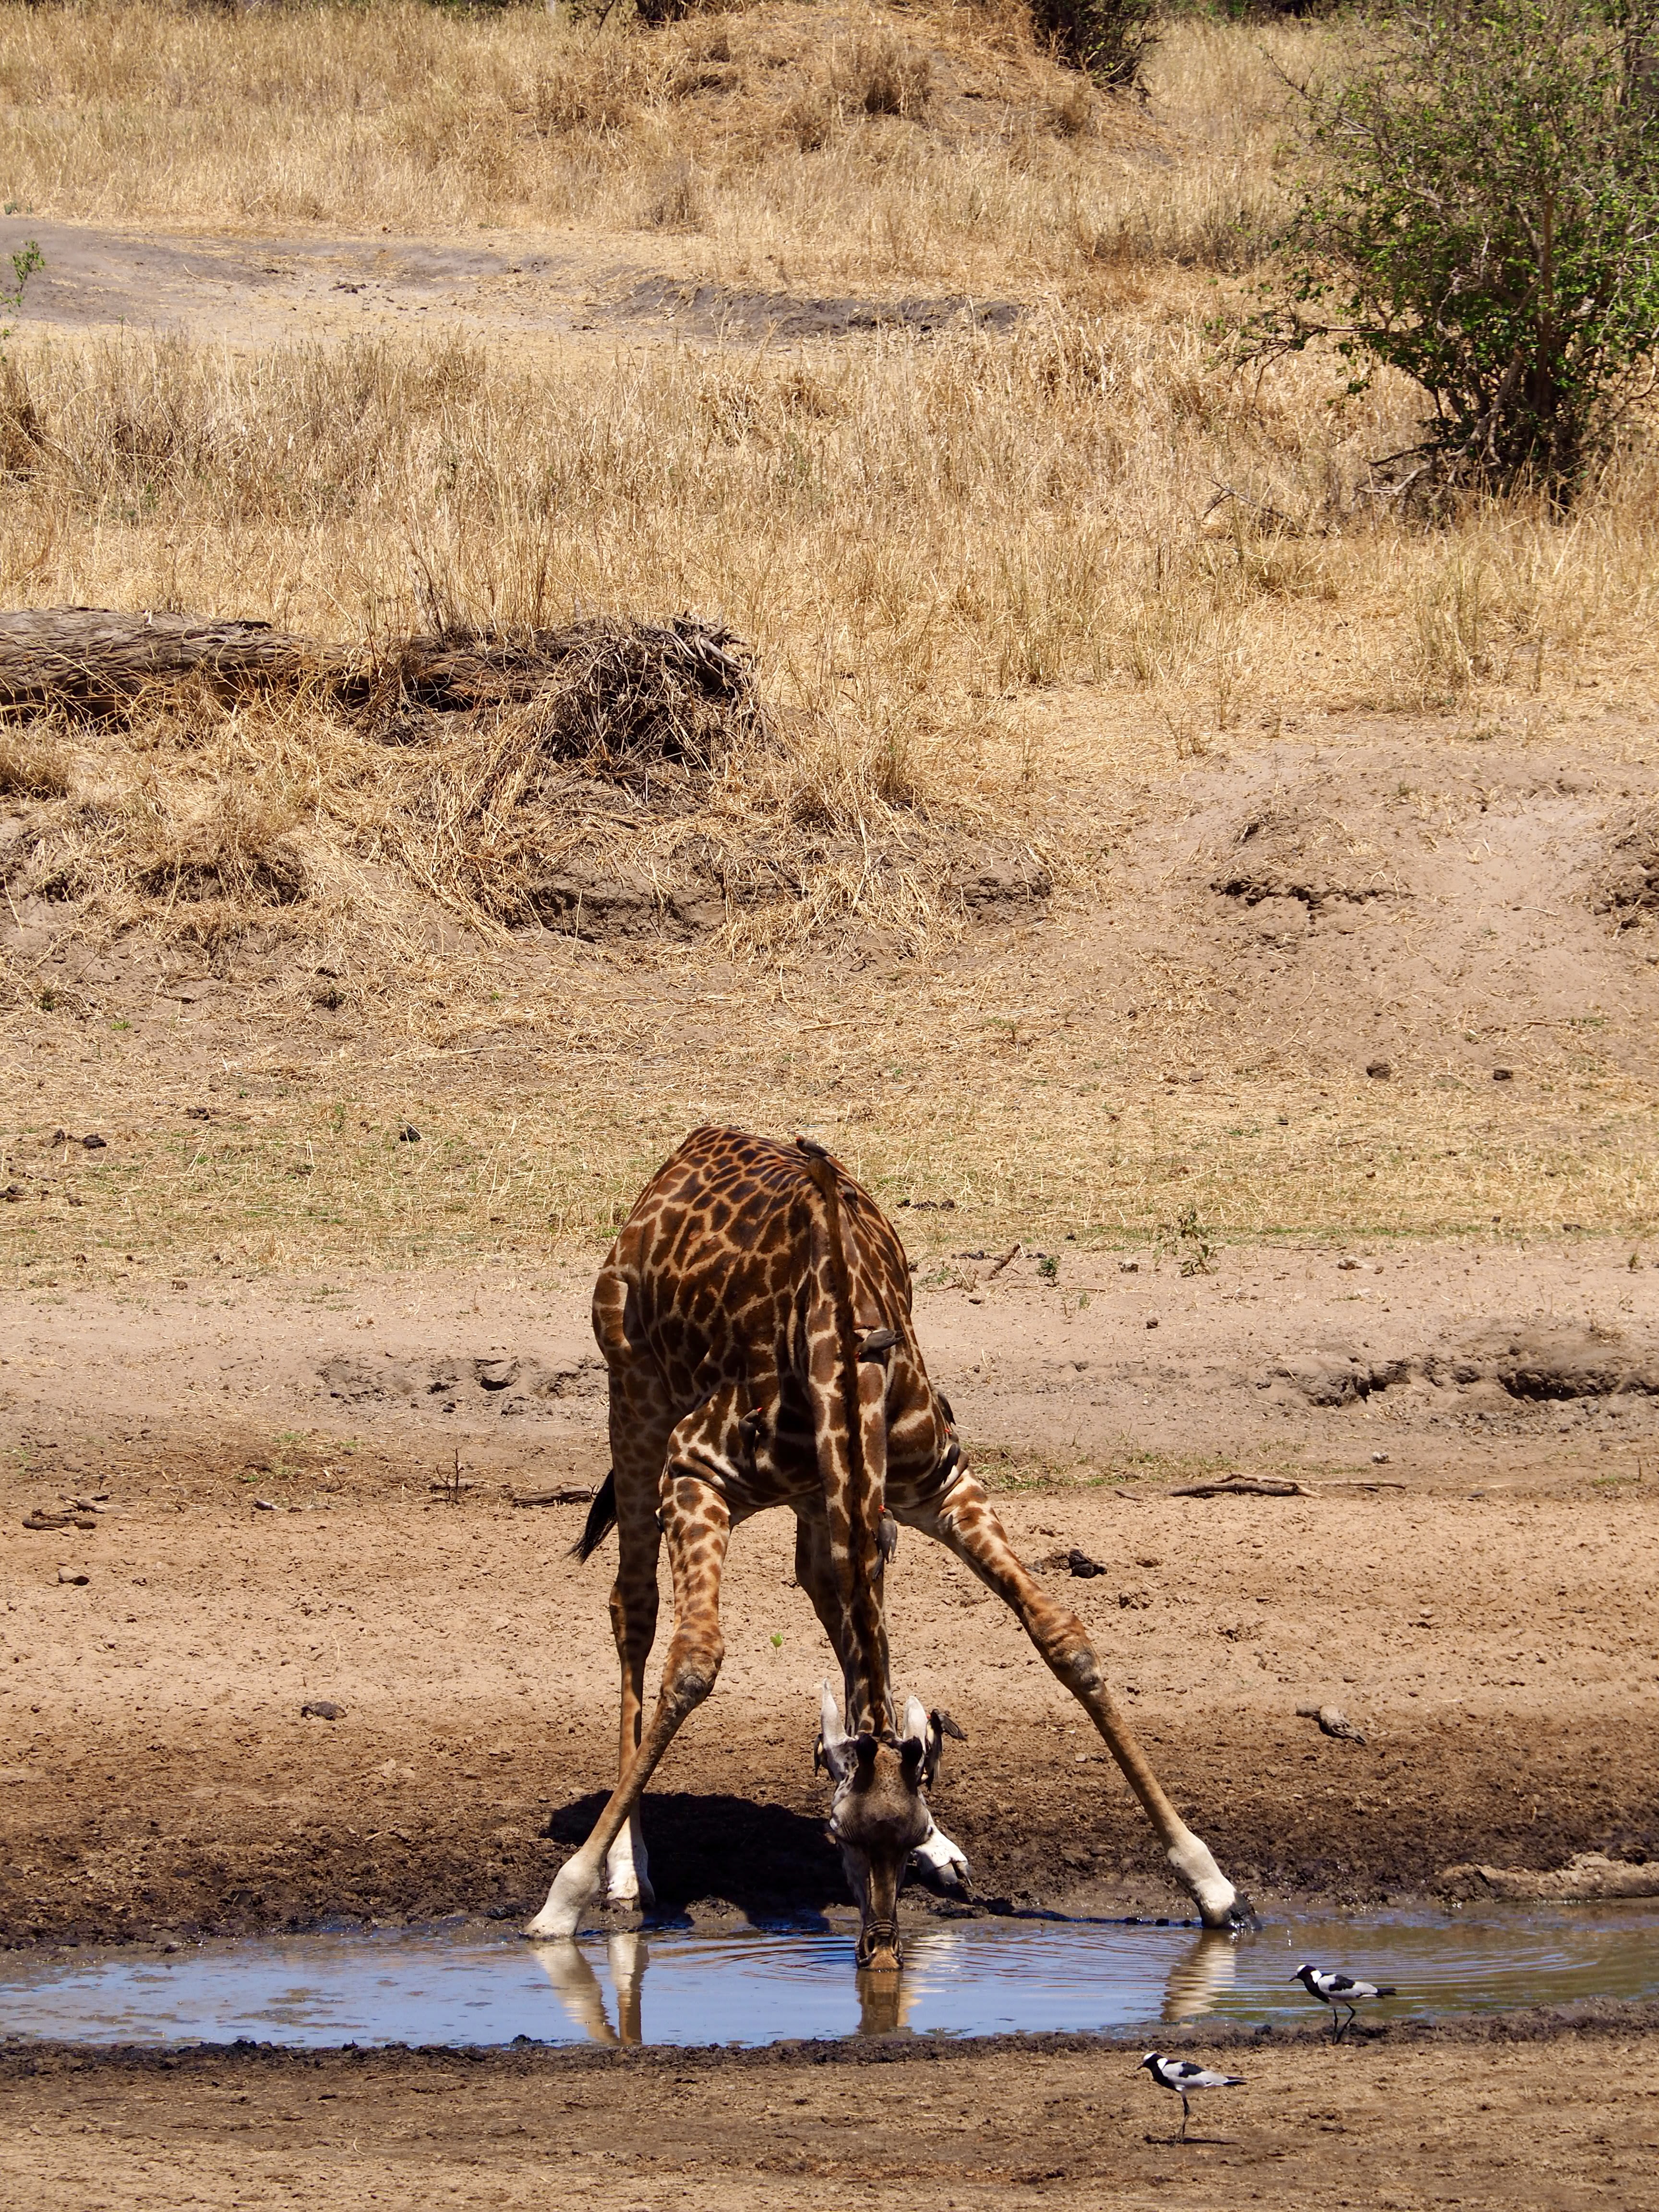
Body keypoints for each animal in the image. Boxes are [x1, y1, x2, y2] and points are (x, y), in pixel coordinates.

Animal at [526, 1132, 1238, 1964]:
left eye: (908, 1830)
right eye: (837, 1834)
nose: (882, 1950)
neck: (843, 1350)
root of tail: (691, 1148)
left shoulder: (939, 1485)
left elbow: (1062, 1637)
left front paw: (1210, 1882)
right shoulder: (698, 1471)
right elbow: (694, 1663)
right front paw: (562, 1900)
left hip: (822, 1499)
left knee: (824, 1591)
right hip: (636, 1398)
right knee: (633, 1608)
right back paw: (625, 1869)